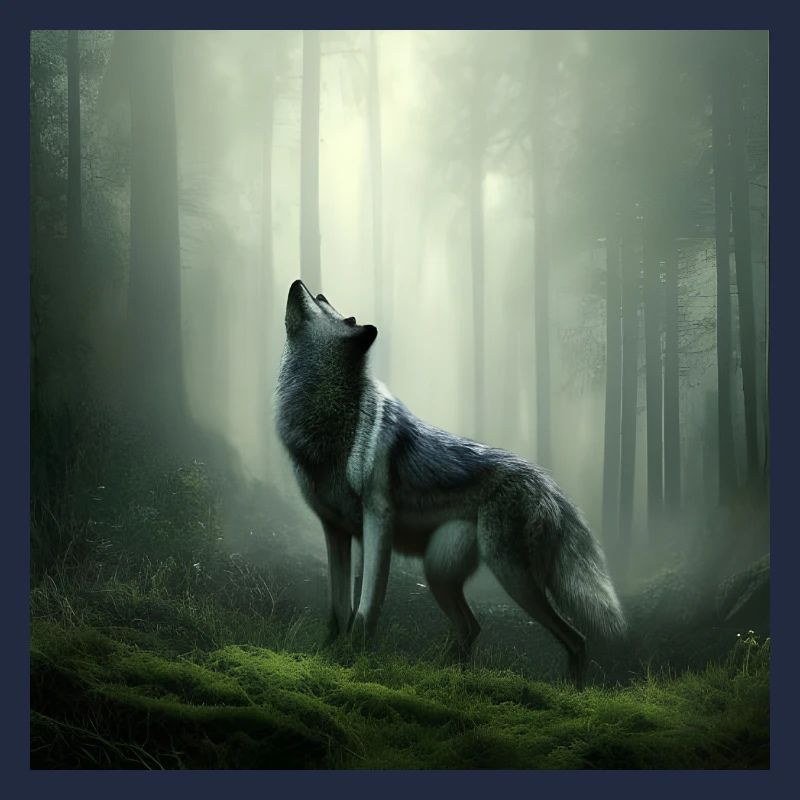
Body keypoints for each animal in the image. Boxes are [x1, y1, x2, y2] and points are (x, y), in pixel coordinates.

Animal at [276, 280, 626, 687]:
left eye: (329, 308)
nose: (300, 283)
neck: (328, 421)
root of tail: (548, 484)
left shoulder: (377, 521)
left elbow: (365, 610)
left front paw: (355, 662)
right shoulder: (334, 530)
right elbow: (337, 609)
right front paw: (327, 655)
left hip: (510, 575)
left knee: (576, 637)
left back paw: (573, 691)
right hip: (439, 573)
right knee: (472, 627)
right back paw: (448, 677)